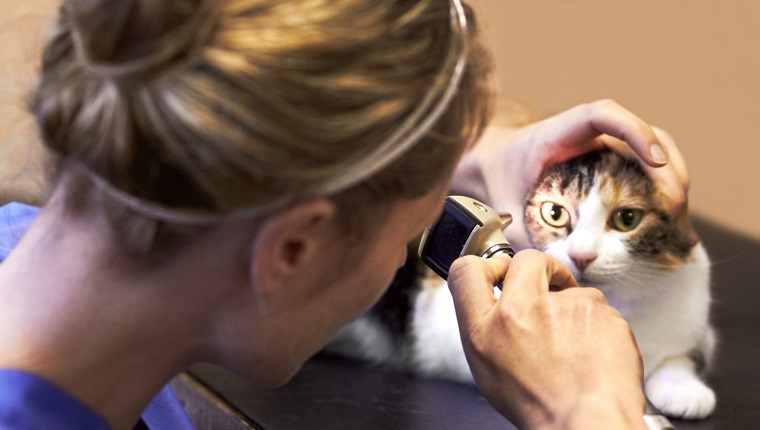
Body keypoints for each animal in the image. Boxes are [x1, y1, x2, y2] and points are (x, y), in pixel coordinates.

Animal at [328, 149, 720, 418]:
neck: (622, 303)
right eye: (554, 213)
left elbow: (687, 352)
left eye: (627, 219)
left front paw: (683, 388)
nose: (581, 256)